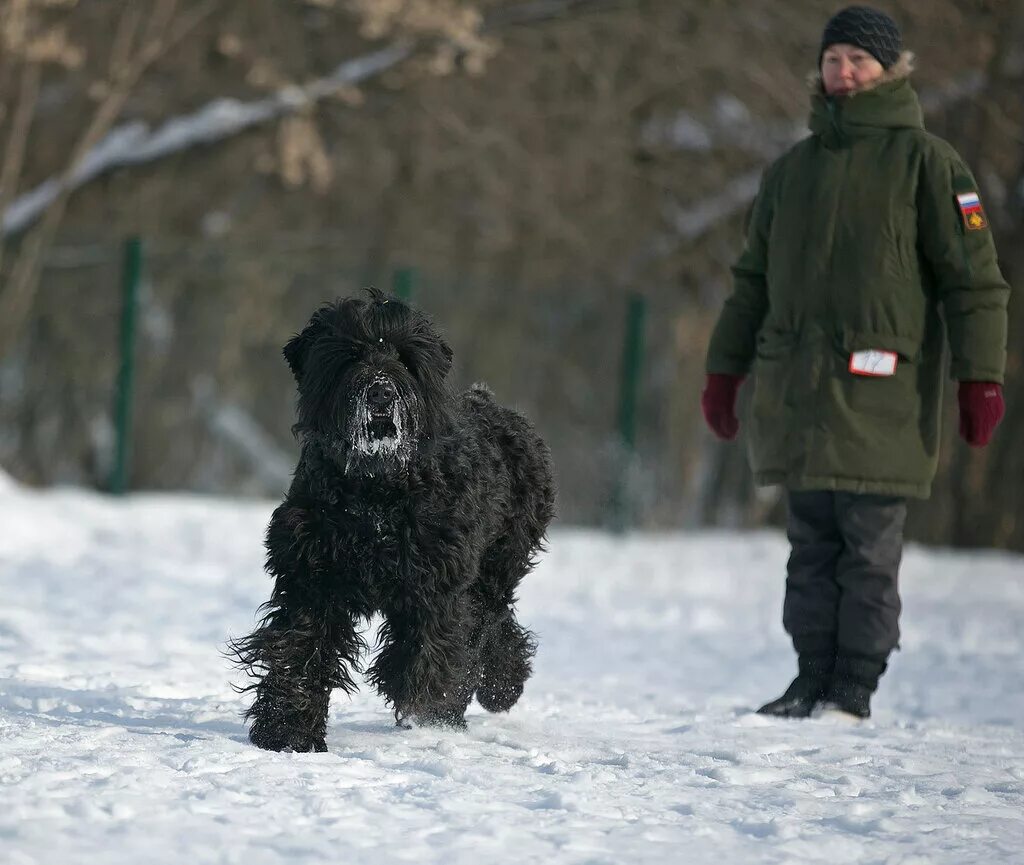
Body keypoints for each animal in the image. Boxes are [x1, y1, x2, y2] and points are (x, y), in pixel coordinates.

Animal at [229, 290, 557, 749]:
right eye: (350, 353)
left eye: (404, 356)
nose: (381, 392)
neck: (375, 494)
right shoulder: (312, 577)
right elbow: (300, 650)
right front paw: (287, 729)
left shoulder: (435, 585)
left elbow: (429, 653)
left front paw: (427, 711)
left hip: (497, 566)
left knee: (489, 623)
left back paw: (497, 690)